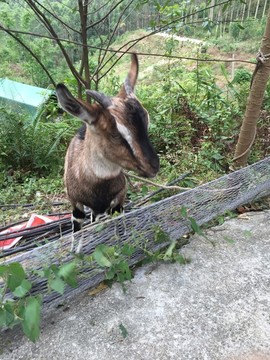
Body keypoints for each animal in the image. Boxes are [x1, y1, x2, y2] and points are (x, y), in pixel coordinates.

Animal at [56, 53, 159, 252]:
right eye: (115, 133)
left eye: (147, 120)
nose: (153, 166)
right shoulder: (75, 203)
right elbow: (77, 233)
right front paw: (75, 253)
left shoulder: (120, 197)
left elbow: (119, 227)